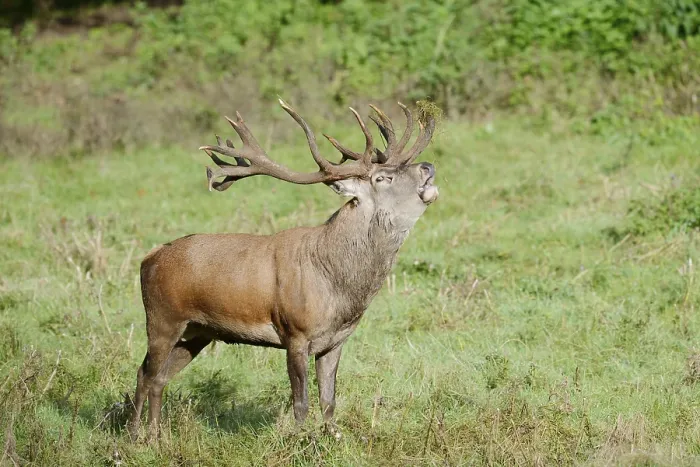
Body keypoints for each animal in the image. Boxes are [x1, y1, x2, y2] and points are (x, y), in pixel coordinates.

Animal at [128, 99, 439, 440]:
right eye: (383, 178)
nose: (427, 167)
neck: (338, 287)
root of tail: (148, 259)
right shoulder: (295, 332)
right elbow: (300, 403)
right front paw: (299, 440)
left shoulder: (336, 340)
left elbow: (329, 401)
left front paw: (333, 438)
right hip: (162, 318)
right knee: (145, 374)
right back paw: (136, 437)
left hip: (197, 332)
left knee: (159, 377)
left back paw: (155, 435)